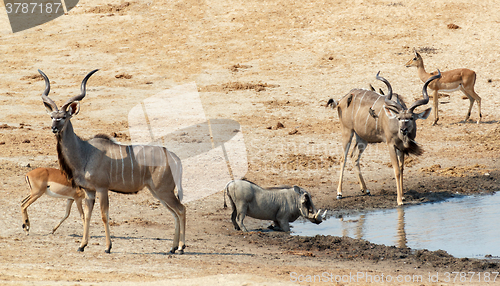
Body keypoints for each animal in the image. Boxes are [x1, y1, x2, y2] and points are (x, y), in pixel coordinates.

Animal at [39, 70, 187, 254]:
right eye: (52, 116)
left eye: (64, 117)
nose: (54, 128)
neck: (84, 152)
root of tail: (175, 158)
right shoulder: (90, 191)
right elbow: (87, 215)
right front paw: (82, 245)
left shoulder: (102, 189)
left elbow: (104, 215)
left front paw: (108, 247)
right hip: (157, 191)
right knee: (174, 213)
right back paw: (172, 248)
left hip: (164, 190)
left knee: (181, 209)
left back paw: (181, 247)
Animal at [326, 71, 440, 206]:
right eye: (399, 118)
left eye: (411, 118)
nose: (403, 130)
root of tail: (341, 100)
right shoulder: (391, 145)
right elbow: (396, 170)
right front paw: (399, 200)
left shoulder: (401, 148)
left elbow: (402, 169)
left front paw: (403, 196)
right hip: (347, 131)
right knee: (343, 158)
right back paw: (339, 193)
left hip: (362, 138)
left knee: (354, 157)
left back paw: (366, 190)